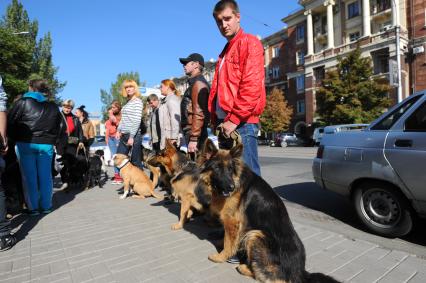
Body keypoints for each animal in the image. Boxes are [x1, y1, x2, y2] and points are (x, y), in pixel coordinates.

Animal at [201, 141, 340, 282]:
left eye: (230, 169)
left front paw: (221, 257)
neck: (236, 178)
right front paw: (221, 242)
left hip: (256, 235)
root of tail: (300, 272)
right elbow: (228, 239)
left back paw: (244, 267)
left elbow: (229, 243)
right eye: (217, 168)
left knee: (268, 276)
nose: (231, 187)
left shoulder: (232, 221)